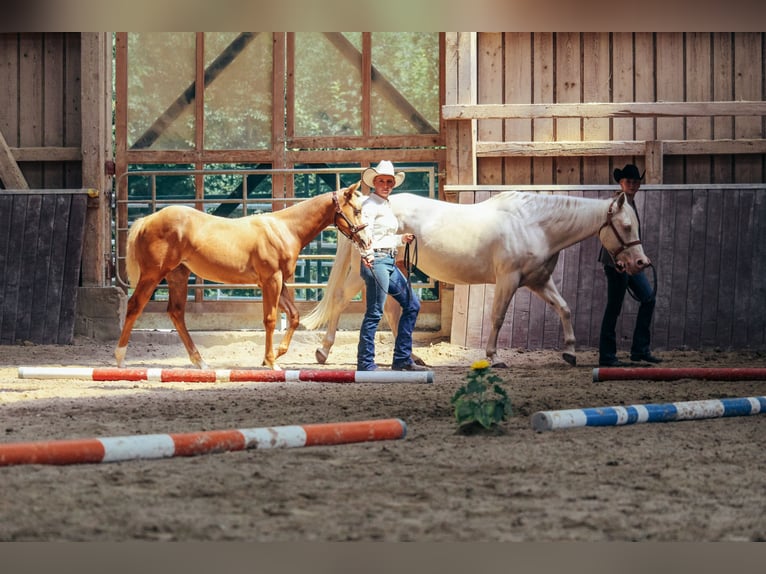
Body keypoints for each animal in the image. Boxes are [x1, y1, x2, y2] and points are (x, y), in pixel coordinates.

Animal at [115, 182, 370, 370]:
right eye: (357, 211)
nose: (366, 242)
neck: (284, 229)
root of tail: (147, 220)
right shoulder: (271, 280)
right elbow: (270, 319)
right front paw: (271, 362)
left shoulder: (279, 283)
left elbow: (294, 316)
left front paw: (274, 355)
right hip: (152, 274)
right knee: (135, 306)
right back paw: (119, 358)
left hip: (177, 276)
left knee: (176, 313)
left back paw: (200, 361)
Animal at [301, 190, 649, 367]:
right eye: (626, 226)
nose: (641, 263)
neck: (534, 223)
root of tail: (361, 212)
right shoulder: (508, 280)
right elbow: (497, 318)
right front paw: (494, 358)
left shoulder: (538, 281)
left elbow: (564, 308)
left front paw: (570, 353)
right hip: (370, 268)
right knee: (342, 299)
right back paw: (323, 352)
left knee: (392, 309)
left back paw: (412, 357)